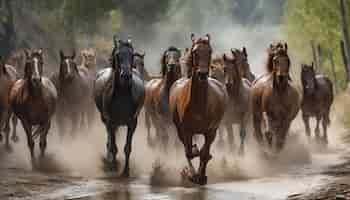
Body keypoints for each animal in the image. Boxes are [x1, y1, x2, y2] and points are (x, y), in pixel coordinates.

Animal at [93, 36, 145, 177]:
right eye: (117, 55)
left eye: (132, 55)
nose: (126, 75)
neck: (122, 94)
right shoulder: (110, 121)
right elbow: (113, 147)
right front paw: (113, 167)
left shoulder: (132, 122)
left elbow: (127, 148)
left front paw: (126, 171)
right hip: (105, 120)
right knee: (109, 141)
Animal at [169, 33, 227, 185]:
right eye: (195, 52)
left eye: (210, 51)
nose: (202, 74)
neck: (199, 105)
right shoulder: (186, 130)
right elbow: (189, 152)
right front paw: (192, 175)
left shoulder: (211, 131)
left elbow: (204, 153)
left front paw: (201, 176)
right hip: (179, 128)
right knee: (187, 148)